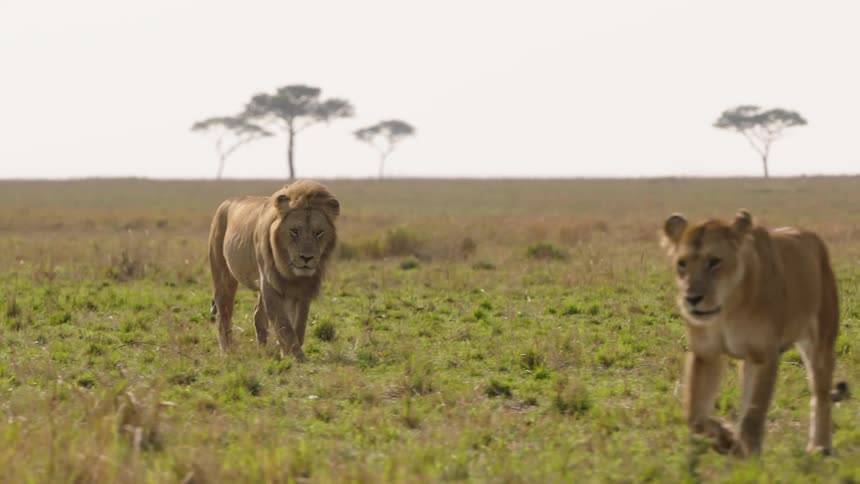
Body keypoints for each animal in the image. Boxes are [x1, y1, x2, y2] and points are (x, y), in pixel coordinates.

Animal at [208, 180, 340, 361]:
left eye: (319, 232)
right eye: (294, 231)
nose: (306, 258)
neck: (292, 273)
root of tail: (226, 202)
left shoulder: (303, 290)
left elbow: (298, 325)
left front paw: (287, 353)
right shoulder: (270, 284)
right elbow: (284, 324)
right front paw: (297, 356)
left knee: (257, 314)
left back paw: (263, 350)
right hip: (223, 277)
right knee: (224, 315)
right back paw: (227, 351)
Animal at [661, 209, 847, 457]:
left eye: (714, 262)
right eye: (682, 264)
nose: (692, 298)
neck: (728, 310)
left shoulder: (763, 355)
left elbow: (753, 415)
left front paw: (747, 455)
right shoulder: (706, 354)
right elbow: (695, 417)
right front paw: (726, 439)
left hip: (820, 343)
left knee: (821, 394)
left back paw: (820, 446)